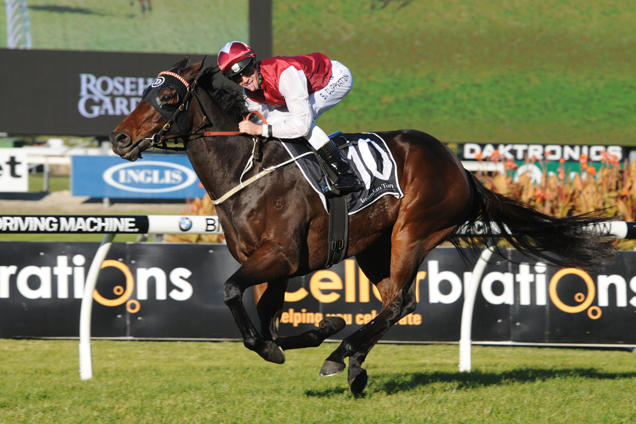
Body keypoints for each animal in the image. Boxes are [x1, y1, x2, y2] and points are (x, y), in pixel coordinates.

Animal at [110, 58, 616, 396]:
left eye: (167, 97)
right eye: (143, 93)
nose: (118, 138)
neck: (247, 170)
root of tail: (460, 166)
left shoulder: (281, 256)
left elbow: (234, 294)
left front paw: (317, 337)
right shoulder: (277, 265)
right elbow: (267, 327)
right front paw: (320, 328)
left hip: (412, 232)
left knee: (400, 302)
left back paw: (341, 358)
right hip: (373, 247)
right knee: (395, 303)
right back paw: (354, 365)